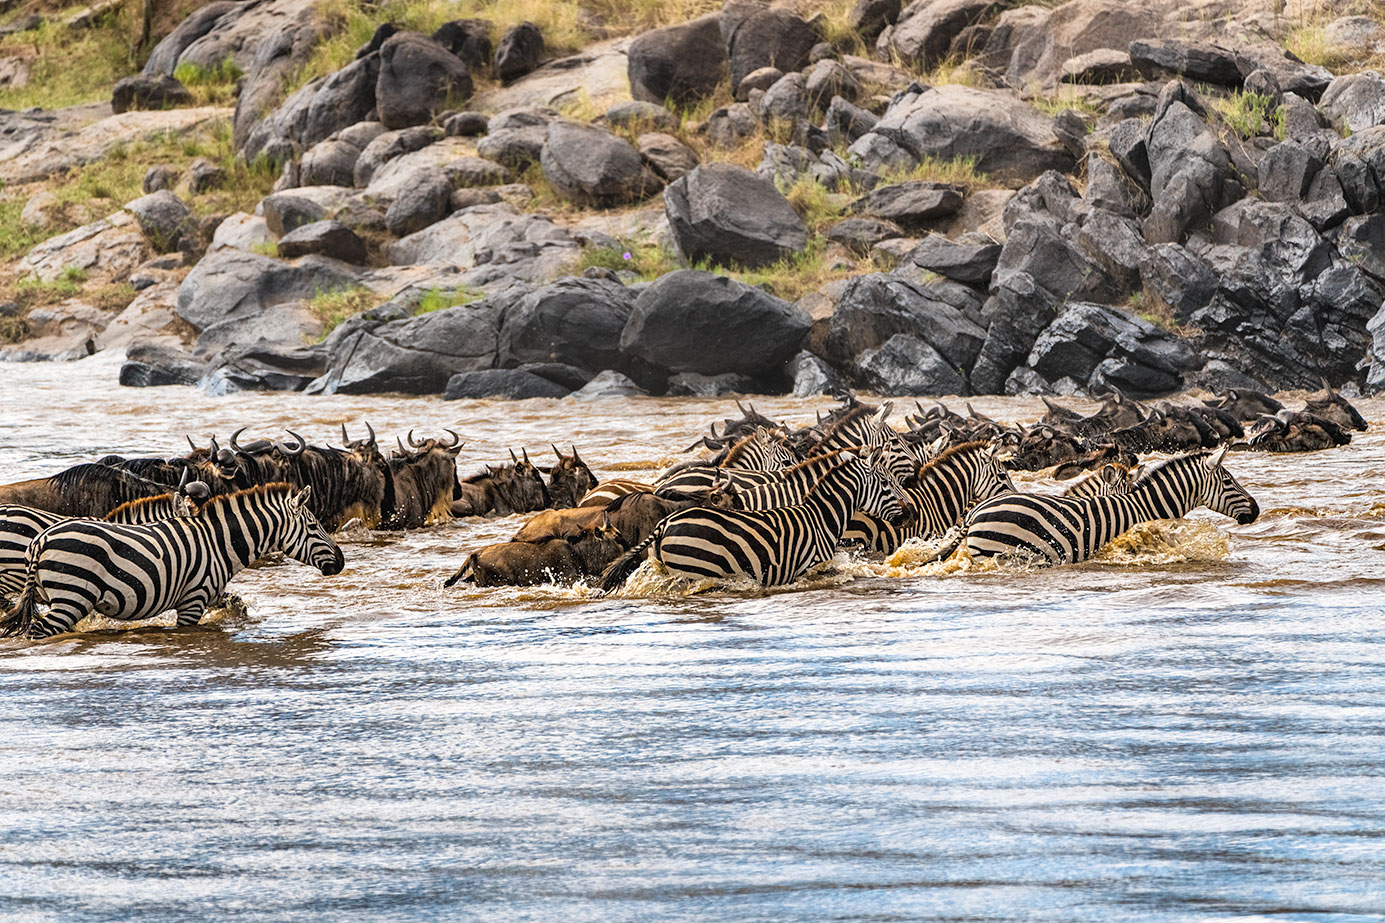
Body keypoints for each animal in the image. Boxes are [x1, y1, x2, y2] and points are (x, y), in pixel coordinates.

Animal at [0, 482, 343, 640]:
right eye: (314, 525)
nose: (340, 562)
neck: (217, 543)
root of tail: (42, 540)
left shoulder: (210, 592)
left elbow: (237, 603)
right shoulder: (194, 599)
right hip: (71, 597)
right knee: (38, 631)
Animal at [601, 446, 914, 590]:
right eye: (887, 483)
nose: (910, 514)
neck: (821, 517)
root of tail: (665, 524)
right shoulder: (813, 567)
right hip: (694, 571)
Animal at [925, 443, 1263, 565]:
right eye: (1229, 482)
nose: (1257, 510)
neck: (1146, 507)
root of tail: (976, 512)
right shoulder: (1138, 545)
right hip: (999, 552)